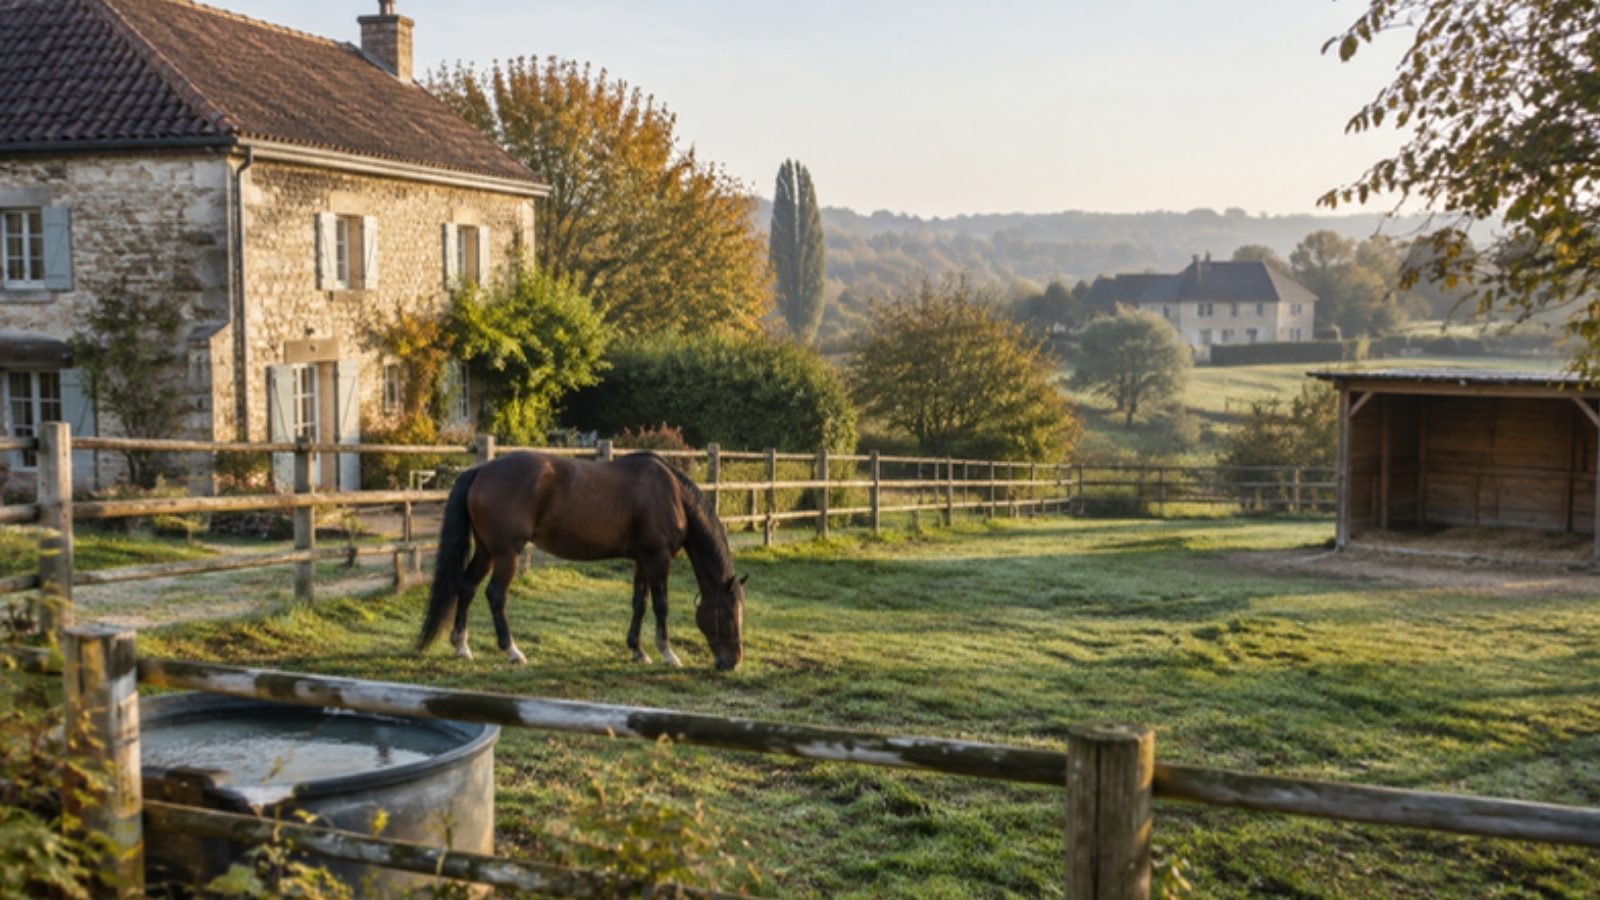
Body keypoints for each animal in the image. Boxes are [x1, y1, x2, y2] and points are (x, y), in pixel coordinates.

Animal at [416, 450, 746, 670]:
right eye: (729, 614)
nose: (731, 662)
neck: (673, 495)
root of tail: (480, 471)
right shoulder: (658, 559)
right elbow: (661, 606)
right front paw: (668, 653)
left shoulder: (642, 560)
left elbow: (639, 604)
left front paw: (637, 651)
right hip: (506, 553)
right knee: (495, 595)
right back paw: (512, 651)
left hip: (486, 551)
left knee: (467, 587)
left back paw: (462, 645)